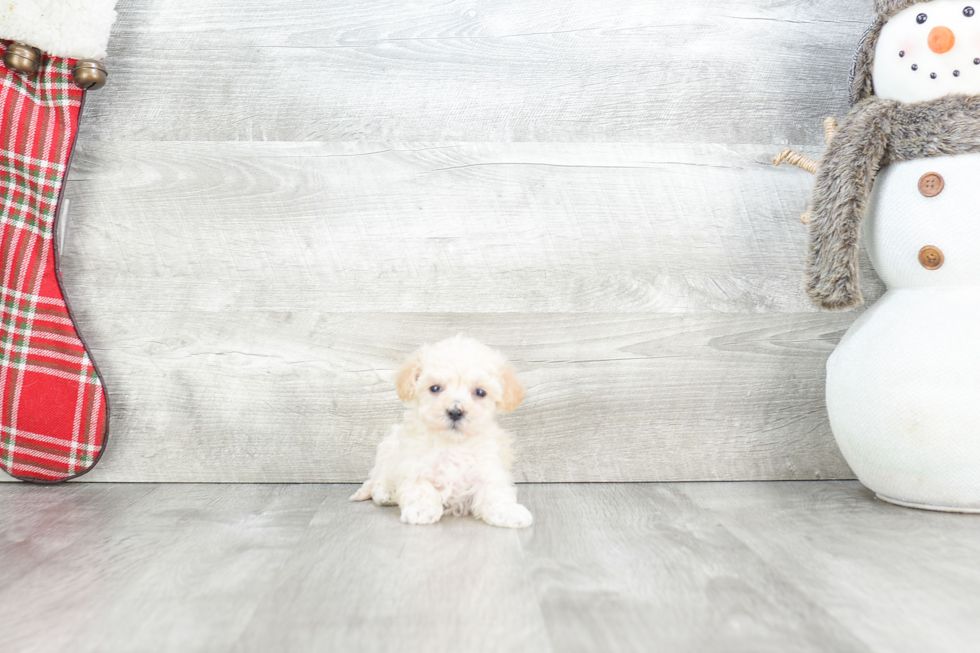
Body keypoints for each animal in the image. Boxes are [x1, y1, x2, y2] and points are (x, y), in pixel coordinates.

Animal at [352, 334, 532, 528]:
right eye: (435, 388)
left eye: (480, 392)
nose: (455, 412)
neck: (452, 443)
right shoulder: (414, 465)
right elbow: (421, 488)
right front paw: (421, 511)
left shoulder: (488, 468)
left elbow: (496, 493)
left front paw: (509, 512)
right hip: (388, 449)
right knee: (378, 479)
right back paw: (386, 493)